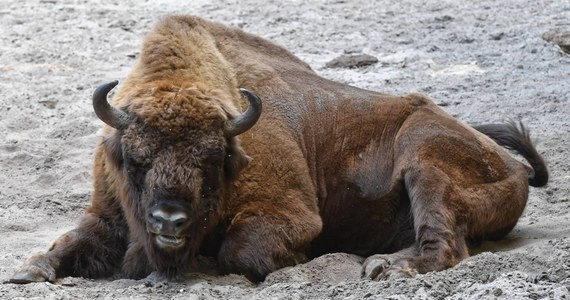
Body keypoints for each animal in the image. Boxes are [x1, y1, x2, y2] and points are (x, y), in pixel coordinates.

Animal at [11, 14, 548, 284]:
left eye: (212, 160)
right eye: (137, 159)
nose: (169, 221)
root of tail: (514, 167)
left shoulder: (292, 212)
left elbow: (241, 251)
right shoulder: (107, 213)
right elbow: (71, 242)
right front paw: (29, 270)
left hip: (426, 159)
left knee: (444, 244)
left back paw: (384, 266)